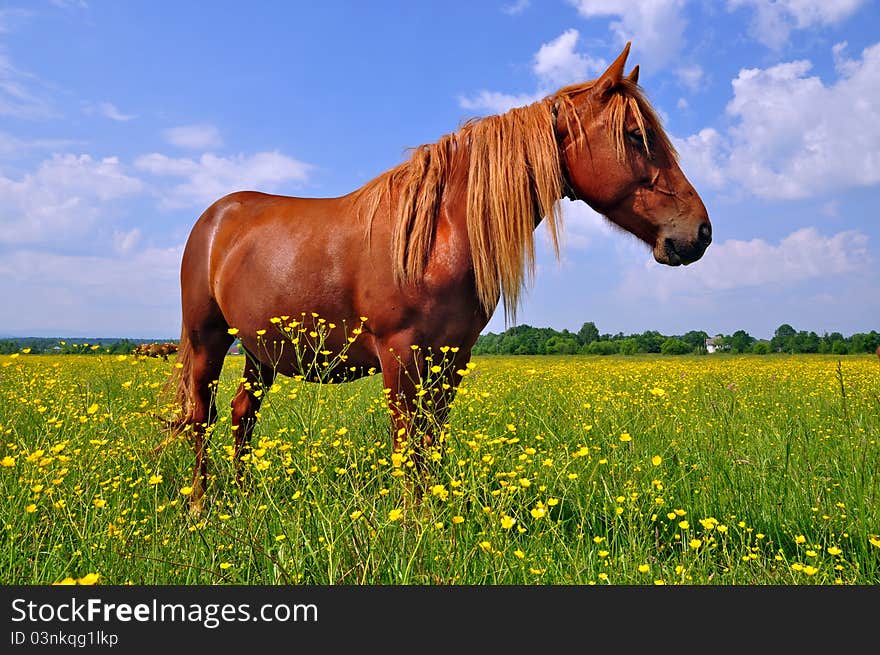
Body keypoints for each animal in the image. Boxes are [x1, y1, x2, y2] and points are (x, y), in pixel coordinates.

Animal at [165, 43, 712, 516]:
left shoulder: (452, 360)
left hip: (260, 350)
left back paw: (243, 497)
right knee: (201, 417)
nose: (699, 233)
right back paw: (199, 505)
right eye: (636, 135)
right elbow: (408, 441)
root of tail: (215, 217)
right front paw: (411, 521)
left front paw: (431, 516)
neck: (438, 234)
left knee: (242, 414)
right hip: (208, 339)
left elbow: (432, 440)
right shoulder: (400, 356)